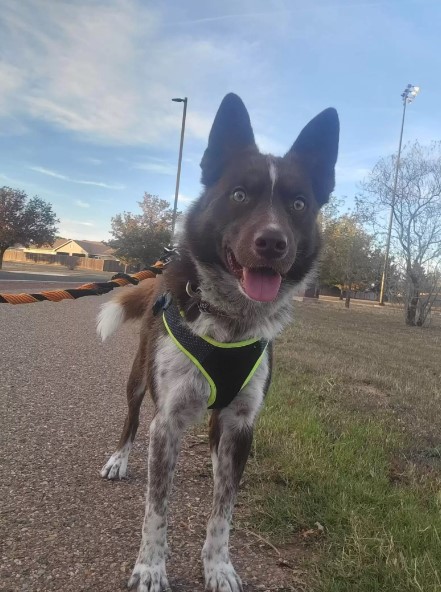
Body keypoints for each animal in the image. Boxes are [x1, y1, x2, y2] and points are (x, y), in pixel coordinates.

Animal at [96, 93, 336, 592]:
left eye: (299, 204)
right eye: (239, 195)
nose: (272, 242)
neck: (230, 320)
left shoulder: (242, 421)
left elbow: (223, 512)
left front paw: (219, 566)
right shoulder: (166, 423)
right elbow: (156, 510)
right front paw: (151, 567)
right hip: (137, 379)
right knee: (131, 418)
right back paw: (119, 459)